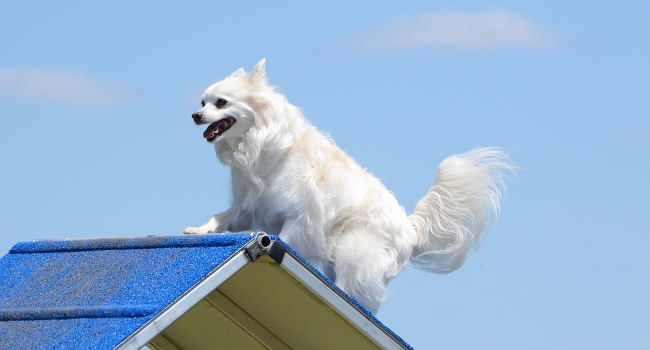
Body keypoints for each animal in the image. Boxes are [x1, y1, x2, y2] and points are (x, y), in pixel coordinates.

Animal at [184, 58, 512, 314]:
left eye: (221, 103)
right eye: (202, 102)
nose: (195, 115)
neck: (256, 144)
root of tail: (409, 228)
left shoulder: (300, 218)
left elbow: (286, 239)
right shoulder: (247, 205)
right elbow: (221, 217)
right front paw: (199, 230)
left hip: (351, 253)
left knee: (351, 290)